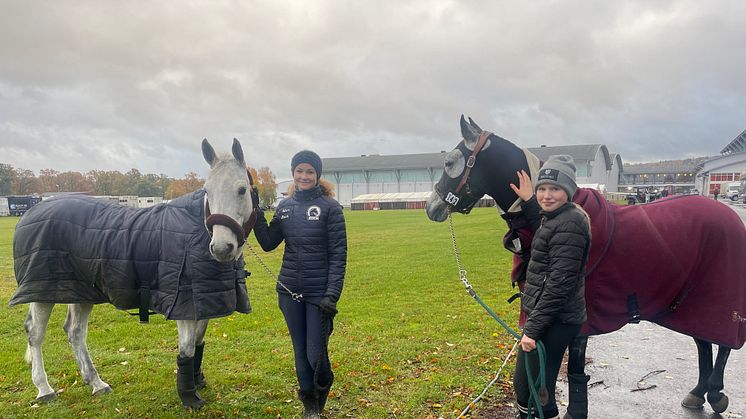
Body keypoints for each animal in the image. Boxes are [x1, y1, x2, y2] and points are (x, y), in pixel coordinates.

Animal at [424, 115, 744, 419]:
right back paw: (698, 392)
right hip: (689, 303)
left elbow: (570, 367)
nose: (431, 207)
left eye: (449, 162)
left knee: (722, 344)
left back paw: (715, 393)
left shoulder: (579, 322)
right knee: (704, 342)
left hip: (717, 301)